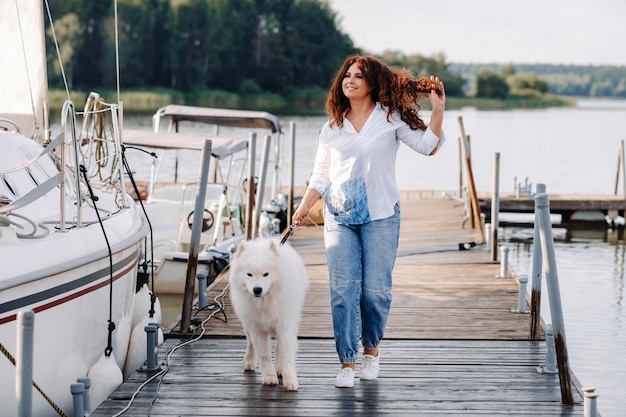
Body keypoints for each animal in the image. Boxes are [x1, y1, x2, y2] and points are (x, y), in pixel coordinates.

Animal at [228, 237, 308, 390]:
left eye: (266, 274)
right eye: (249, 274)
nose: (257, 289)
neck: (265, 302)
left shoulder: (285, 325)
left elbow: (287, 352)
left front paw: (290, 380)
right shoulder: (257, 328)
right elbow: (264, 354)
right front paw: (269, 377)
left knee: (279, 347)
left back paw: (280, 368)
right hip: (247, 324)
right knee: (251, 344)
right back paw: (249, 361)